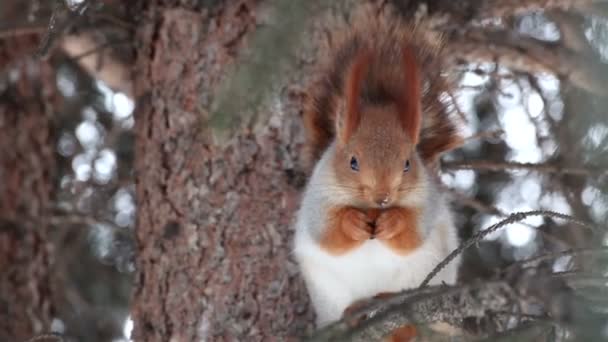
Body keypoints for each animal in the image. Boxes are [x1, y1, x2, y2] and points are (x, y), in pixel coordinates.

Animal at [294, 8, 460, 334]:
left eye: (407, 163)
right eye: (353, 162)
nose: (383, 197)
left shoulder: (427, 203)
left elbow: (412, 234)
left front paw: (393, 221)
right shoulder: (317, 201)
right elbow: (329, 234)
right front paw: (352, 223)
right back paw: (355, 311)